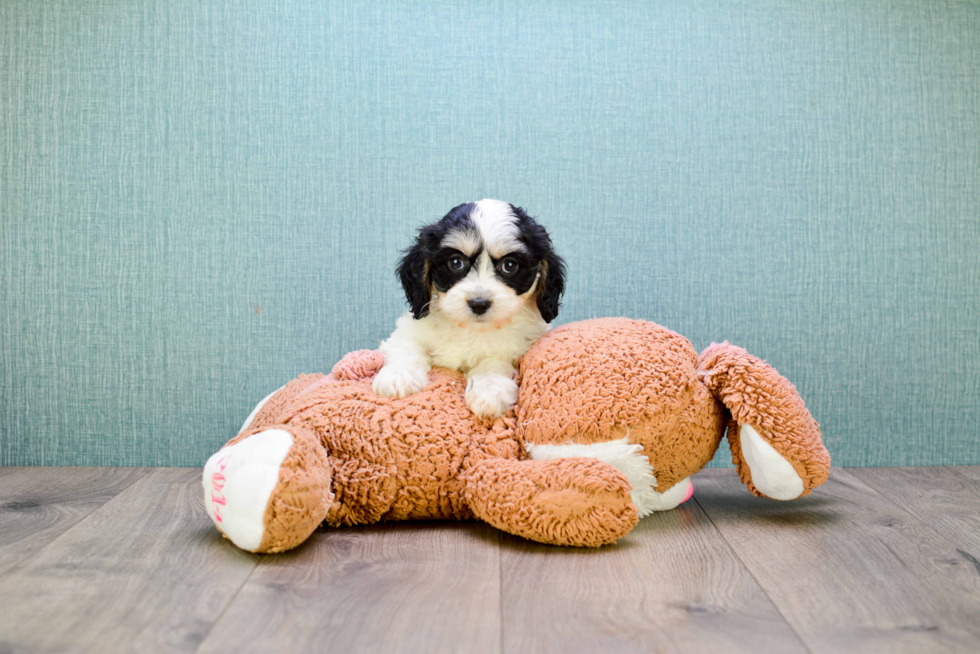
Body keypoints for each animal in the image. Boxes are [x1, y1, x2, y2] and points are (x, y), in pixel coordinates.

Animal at [372, 199, 564, 420]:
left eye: (510, 265)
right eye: (456, 262)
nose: (479, 303)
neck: (470, 328)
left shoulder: (515, 348)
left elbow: (493, 362)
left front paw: (489, 392)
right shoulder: (411, 328)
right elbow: (407, 346)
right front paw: (397, 377)